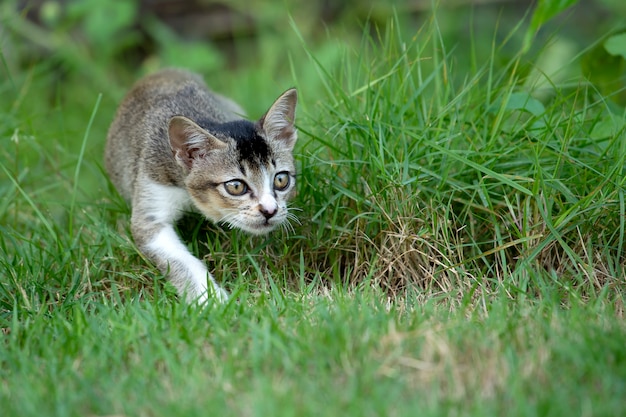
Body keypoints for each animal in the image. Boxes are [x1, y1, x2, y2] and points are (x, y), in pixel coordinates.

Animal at [104, 67, 298, 302]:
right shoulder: (152, 195)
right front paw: (212, 300)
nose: (270, 210)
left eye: (281, 180)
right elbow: (180, 261)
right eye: (236, 186)